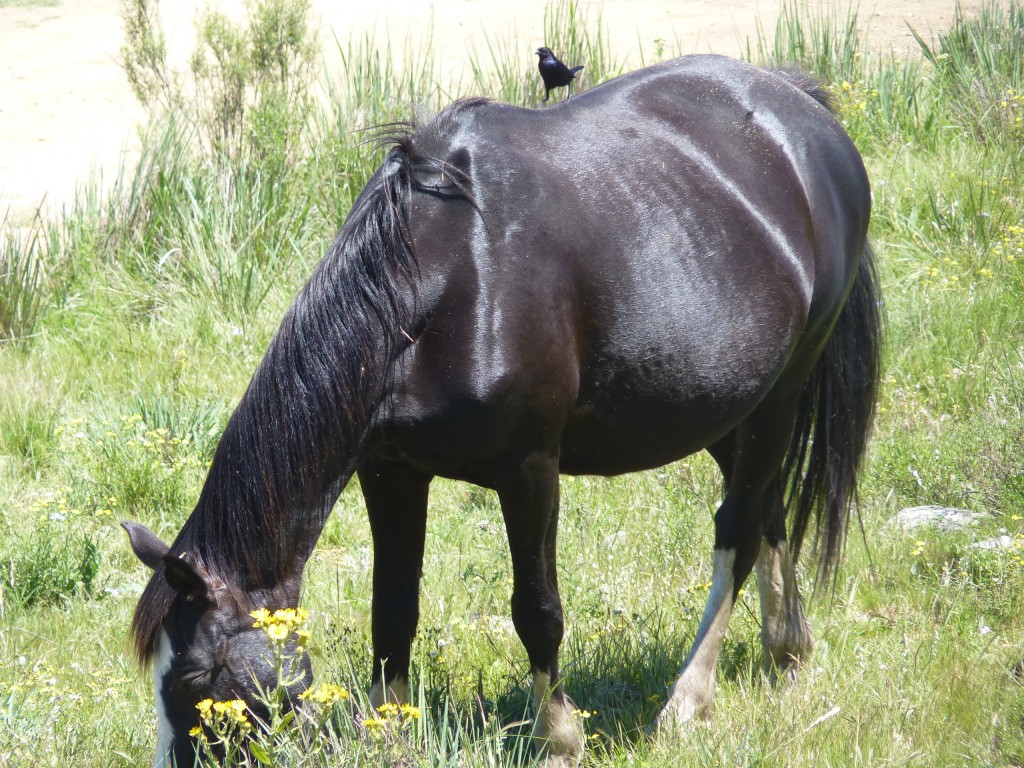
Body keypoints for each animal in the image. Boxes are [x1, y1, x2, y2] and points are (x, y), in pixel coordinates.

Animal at [125, 55, 880, 768]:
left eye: (195, 679)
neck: (441, 281)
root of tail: (799, 109)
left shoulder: (529, 469)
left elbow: (537, 611)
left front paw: (560, 738)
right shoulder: (390, 471)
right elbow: (392, 610)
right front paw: (390, 735)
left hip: (781, 394)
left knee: (740, 528)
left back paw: (689, 701)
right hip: (723, 406)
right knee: (771, 507)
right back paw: (787, 649)